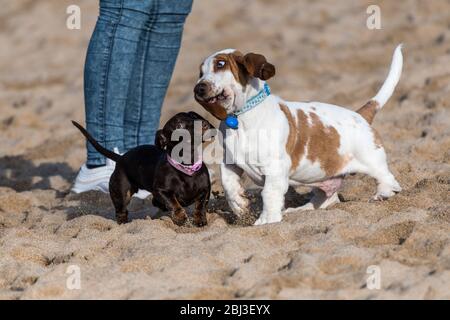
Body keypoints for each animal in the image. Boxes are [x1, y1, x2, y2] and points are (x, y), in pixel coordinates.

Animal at [195, 45, 402, 225]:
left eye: (220, 64)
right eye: (201, 72)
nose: (198, 89)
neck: (241, 117)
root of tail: (360, 115)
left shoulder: (275, 168)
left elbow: (268, 194)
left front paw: (267, 220)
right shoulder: (230, 161)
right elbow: (228, 183)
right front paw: (239, 205)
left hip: (371, 160)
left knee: (389, 180)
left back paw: (382, 194)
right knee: (328, 198)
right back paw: (302, 210)